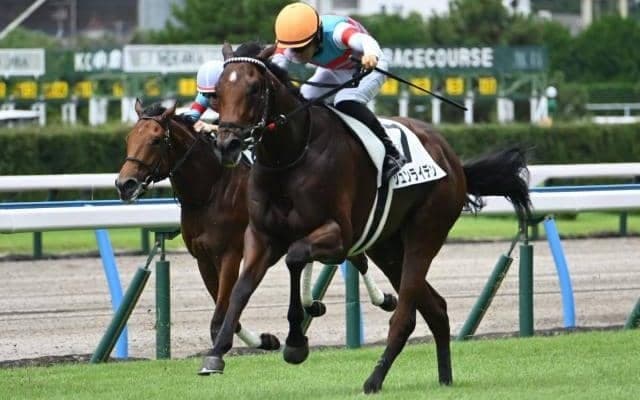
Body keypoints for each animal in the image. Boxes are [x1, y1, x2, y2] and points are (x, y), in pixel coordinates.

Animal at [115, 99, 398, 373]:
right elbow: (226, 309)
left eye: (156, 140)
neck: (211, 190)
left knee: (358, 259)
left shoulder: (230, 254)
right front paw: (265, 340)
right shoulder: (203, 258)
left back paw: (384, 299)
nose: (124, 184)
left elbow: (220, 315)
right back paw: (313, 302)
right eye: (128, 138)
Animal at [207, 43, 531, 394]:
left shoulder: (338, 237)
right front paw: (216, 354)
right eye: (217, 92)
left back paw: (375, 379)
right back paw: (445, 378)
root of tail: (454, 160)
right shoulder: (261, 235)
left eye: (254, 88)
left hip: (425, 233)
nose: (227, 145)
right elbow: (241, 289)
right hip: (386, 247)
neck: (292, 155)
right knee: (436, 308)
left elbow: (295, 258)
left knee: (406, 316)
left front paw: (296, 342)